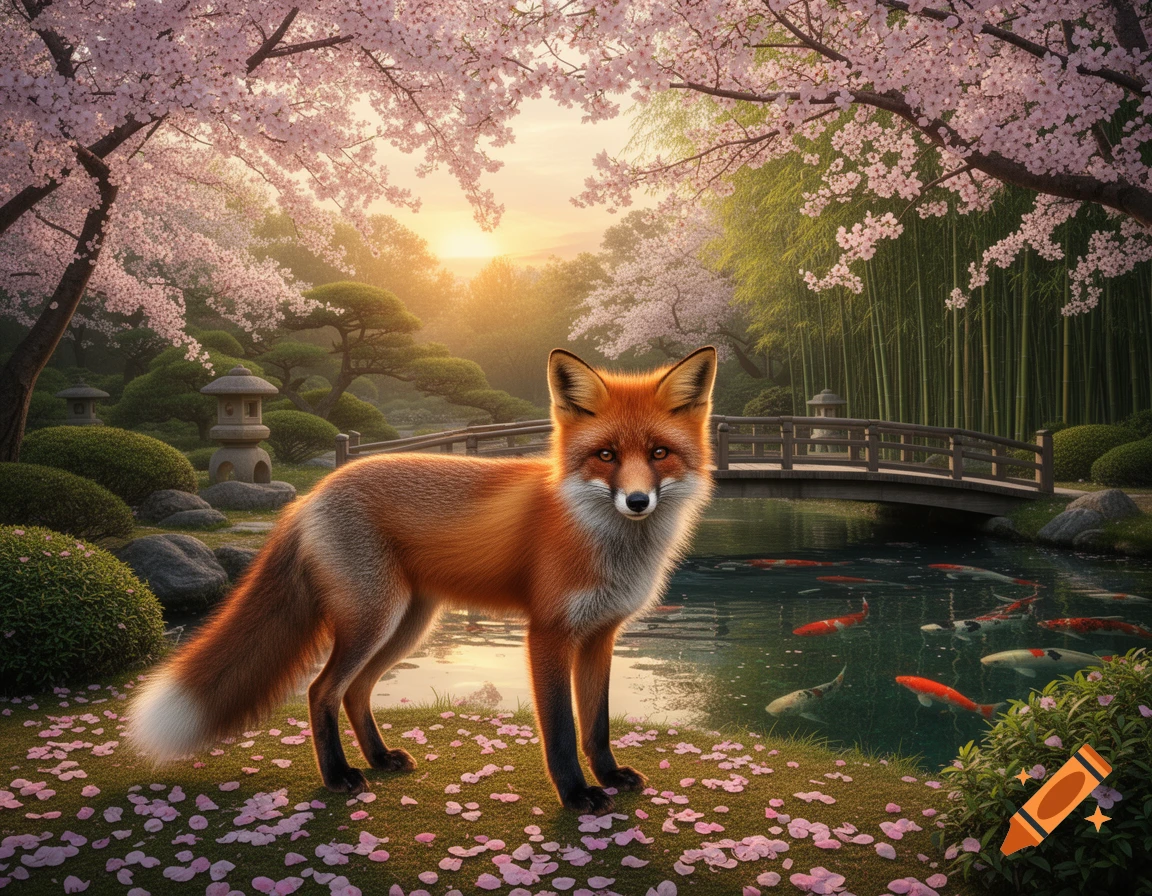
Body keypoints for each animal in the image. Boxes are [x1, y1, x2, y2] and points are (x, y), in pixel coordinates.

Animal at [129, 346, 717, 812]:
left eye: (660, 453)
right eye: (605, 455)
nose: (637, 501)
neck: (598, 537)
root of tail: (312, 493)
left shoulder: (599, 635)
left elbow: (596, 725)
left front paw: (610, 776)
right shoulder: (548, 632)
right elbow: (562, 729)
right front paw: (575, 794)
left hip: (406, 627)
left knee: (355, 691)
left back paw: (379, 758)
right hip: (374, 620)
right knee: (321, 690)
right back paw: (338, 776)